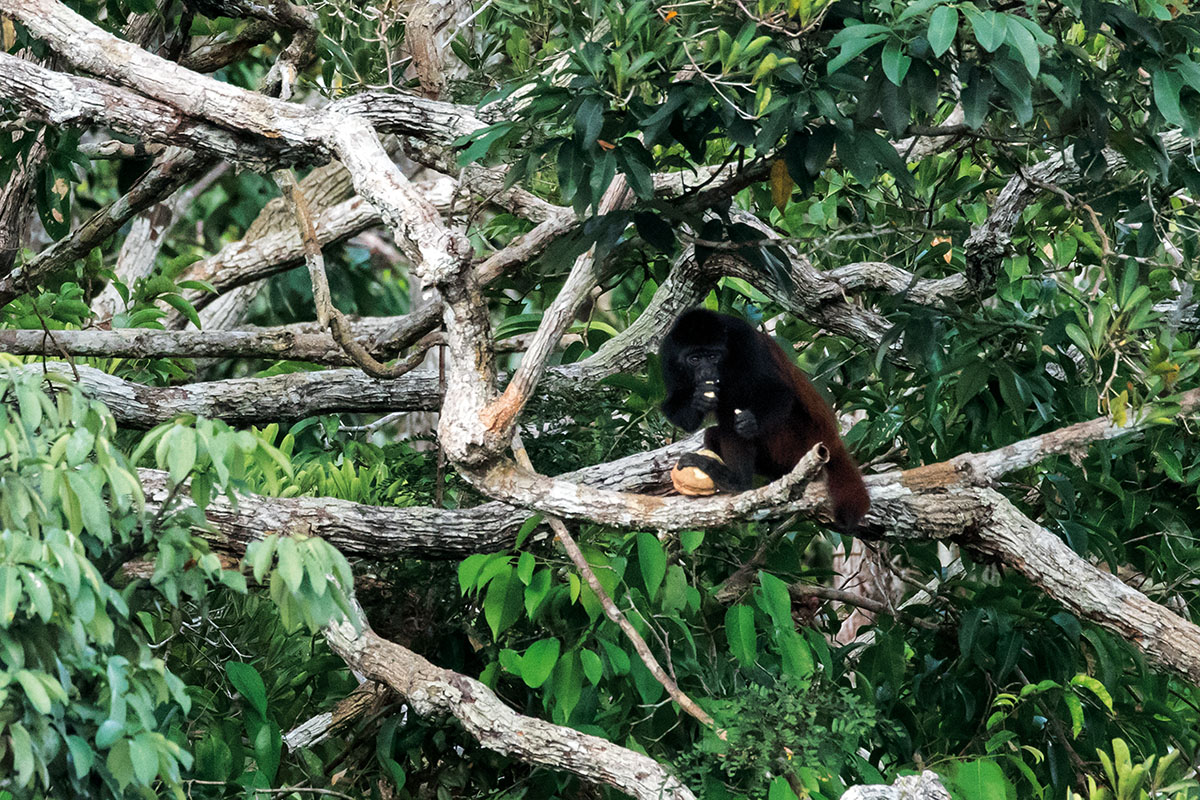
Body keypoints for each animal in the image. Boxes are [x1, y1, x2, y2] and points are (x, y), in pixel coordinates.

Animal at [657, 309, 873, 527]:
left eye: (712, 356)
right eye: (694, 359)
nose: (707, 372)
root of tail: (832, 440)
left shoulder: (745, 341)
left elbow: (779, 391)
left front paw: (750, 422)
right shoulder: (667, 354)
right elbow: (677, 411)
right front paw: (699, 399)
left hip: (795, 440)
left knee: (734, 412)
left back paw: (736, 482)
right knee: (714, 431)